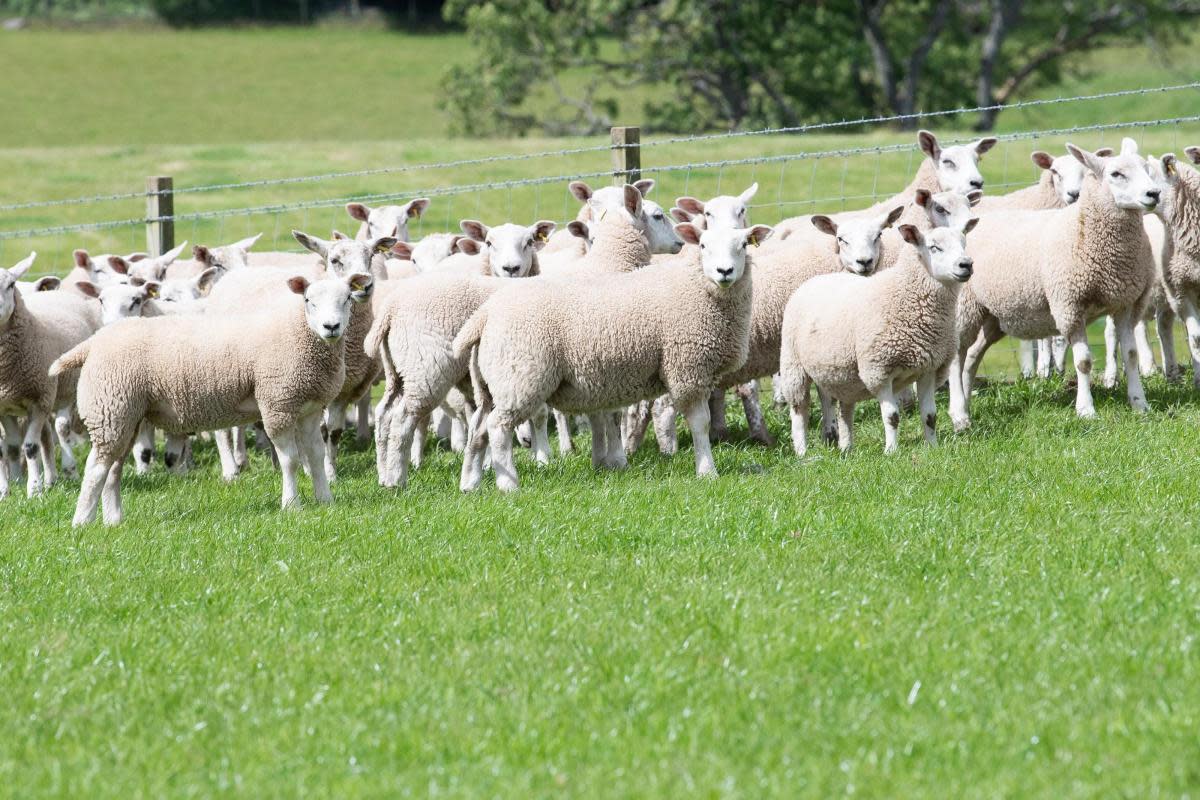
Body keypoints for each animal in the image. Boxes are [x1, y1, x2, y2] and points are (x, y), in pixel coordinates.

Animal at [0, 253, 99, 496]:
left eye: (10, 285)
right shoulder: (5, 406)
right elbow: (10, 448)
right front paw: (8, 489)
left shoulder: (39, 400)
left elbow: (30, 446)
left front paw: (34, 490)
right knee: (45, 436)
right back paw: (50, 478)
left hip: (69, 390)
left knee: (58, 431)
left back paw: (66, 472)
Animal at [50, 272, 374, 527]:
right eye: (308, 300)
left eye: (347, 298)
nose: (331, 327)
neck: (299, 333)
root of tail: (94, 342)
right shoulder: (277, 404)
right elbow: (291, 460)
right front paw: (292, 505)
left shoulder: (309, 407)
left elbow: (317, 456)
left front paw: (325, 500)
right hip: (110, 407)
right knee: (96, 468)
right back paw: (82, 522)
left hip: (126, 415)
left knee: (112, 468)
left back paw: (113, 520)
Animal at [451, 220, 768, 494]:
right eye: (702, 245)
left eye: (743, 245)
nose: (724, 271)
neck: (697, 287)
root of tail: (485, 314)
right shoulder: (688, 368)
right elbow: (700, 423)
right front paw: (707, 471)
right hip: (520, 377)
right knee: (497, 427)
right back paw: (508, 485)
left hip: (492, 384)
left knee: (478, 429)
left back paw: (470, 483)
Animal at [777, 221, 974, 453]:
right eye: (934, 247)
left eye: (964, 244)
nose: (966, 264)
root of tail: (815, 280)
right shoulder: (879, 370)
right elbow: (892, 417)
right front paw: (891, 451)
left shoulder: (929, 368)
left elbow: (930, 416)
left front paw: (932, 448)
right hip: (793, 365)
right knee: (800, 410)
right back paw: (802, 451)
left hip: (838, 373)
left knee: (841, 407)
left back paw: (846, 449)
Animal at [945, 137, 1161, 429]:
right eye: (1116, 174)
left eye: (1147, 169)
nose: (1154, 193)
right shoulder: (1070, 305)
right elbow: (1083, 361)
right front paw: (1086, 410)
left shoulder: (1126, 303)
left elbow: (1131, 355)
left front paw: (1140, 404)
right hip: (966, 307)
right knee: (957, 358)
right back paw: (958, 413)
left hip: (994, 315)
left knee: (971, 357)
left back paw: (967, 404)